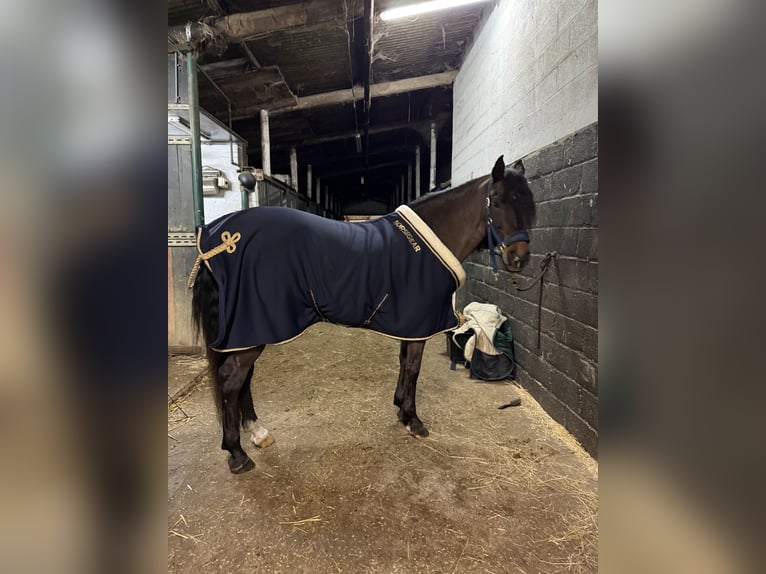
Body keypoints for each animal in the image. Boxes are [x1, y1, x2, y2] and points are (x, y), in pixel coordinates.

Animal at [190, 155, 536, 473]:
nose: (519, 259)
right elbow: (413, 369)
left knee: (243, 379)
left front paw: (400, 410)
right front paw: (414, 420)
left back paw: (257, 433)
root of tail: (218, 238)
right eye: (498, 202)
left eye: (531, 205)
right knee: (231, 379)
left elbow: (403, 364)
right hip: (253, 328)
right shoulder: (419, 325)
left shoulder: (410, 324)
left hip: (249, 330)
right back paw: (237, 454)